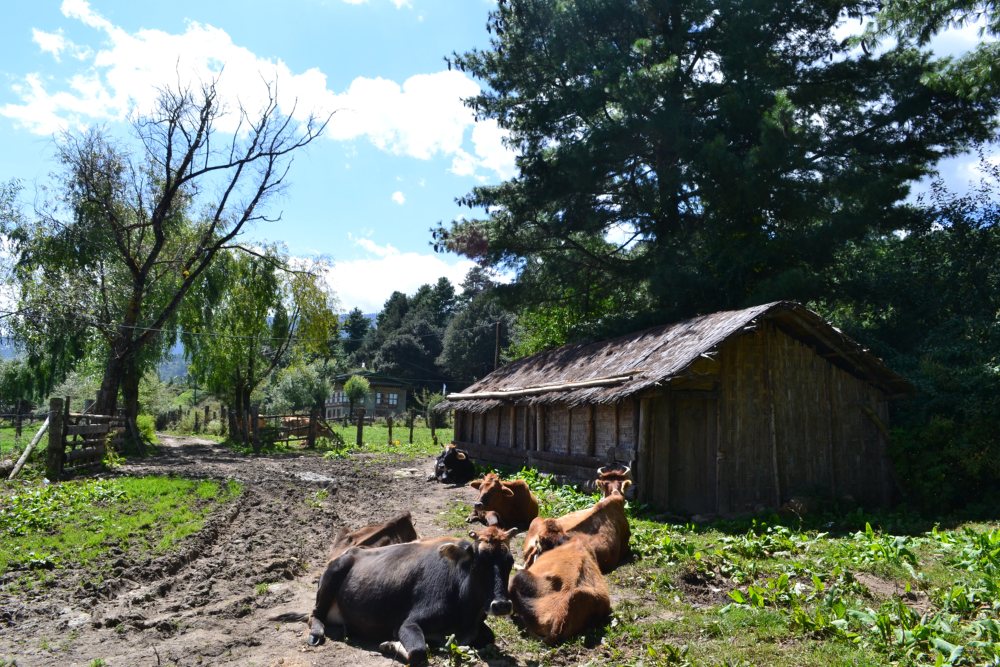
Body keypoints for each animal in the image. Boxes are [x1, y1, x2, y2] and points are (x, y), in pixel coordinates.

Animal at [308, 528, 520, 664]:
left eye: (510, 561)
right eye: (478, 563)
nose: (501, 604)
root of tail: (350, 551)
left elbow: (490, 637)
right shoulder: (408, 623)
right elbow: (418, 651)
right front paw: (390, 645)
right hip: (332, 575)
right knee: (315, 614)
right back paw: (316, 634)